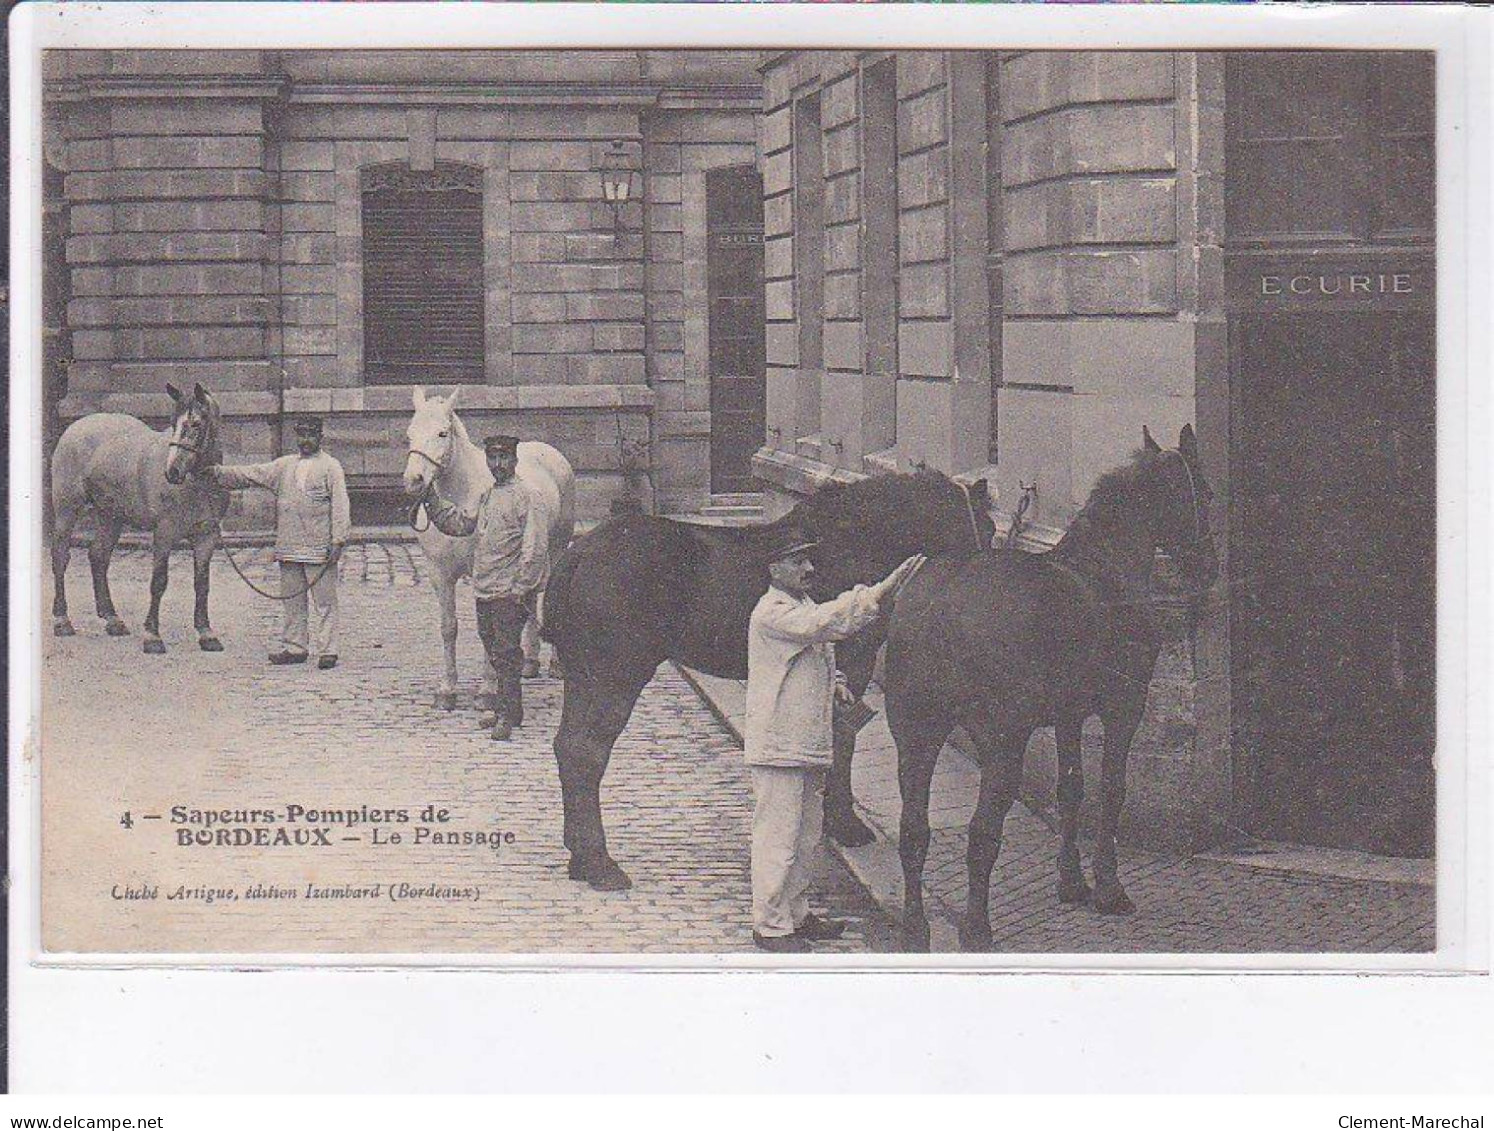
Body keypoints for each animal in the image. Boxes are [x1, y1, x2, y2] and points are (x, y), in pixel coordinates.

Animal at [51, 382, 230, 654]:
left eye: (196, 424)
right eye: (173, 423)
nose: (172, 472)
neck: (197, 484)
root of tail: (76, 426)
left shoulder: (206, 536)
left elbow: (202, 583)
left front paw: (206, 633)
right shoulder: (164, 533)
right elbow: (159, 582)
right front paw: (152, 636)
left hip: (110, 516)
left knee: (98, 556)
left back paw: (112, 619)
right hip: (66, 508)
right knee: (61, 556)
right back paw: (62, 620)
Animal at [403, 388, 576, 705]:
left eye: (442, 433)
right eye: (410, 434)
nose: (414, 481)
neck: (462, 495)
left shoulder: (483, 571)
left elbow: (489, 627)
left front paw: (487, 688)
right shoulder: (439, 574)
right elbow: (449, 628)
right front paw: (447, 689)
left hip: (557, 547)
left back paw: (555, 664)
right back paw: (529, 664)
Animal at [543, 469, 997, 890]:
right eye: (988, 527)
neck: (856, 538)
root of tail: (580, 553)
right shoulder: (854, 663)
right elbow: (843, 740)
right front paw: (844, 823)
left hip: (584, 678)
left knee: (568, 749)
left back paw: (580, 857)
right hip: (614, 678)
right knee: (586, 753)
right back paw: (599, 862)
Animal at [884, 427, 1213, 950]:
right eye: (1206, 493)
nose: (1209, 565)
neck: (1105, 568)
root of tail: (940, 608)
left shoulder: (1068, 714)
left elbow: (1071, 789)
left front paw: (1072, 882)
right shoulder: (1125, 707)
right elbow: (1111, 790)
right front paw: (1109, 888)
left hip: (916, 736)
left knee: (913, 830)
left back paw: (915, 929)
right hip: (1001, 742)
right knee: (981, 833)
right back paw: (976, 928)